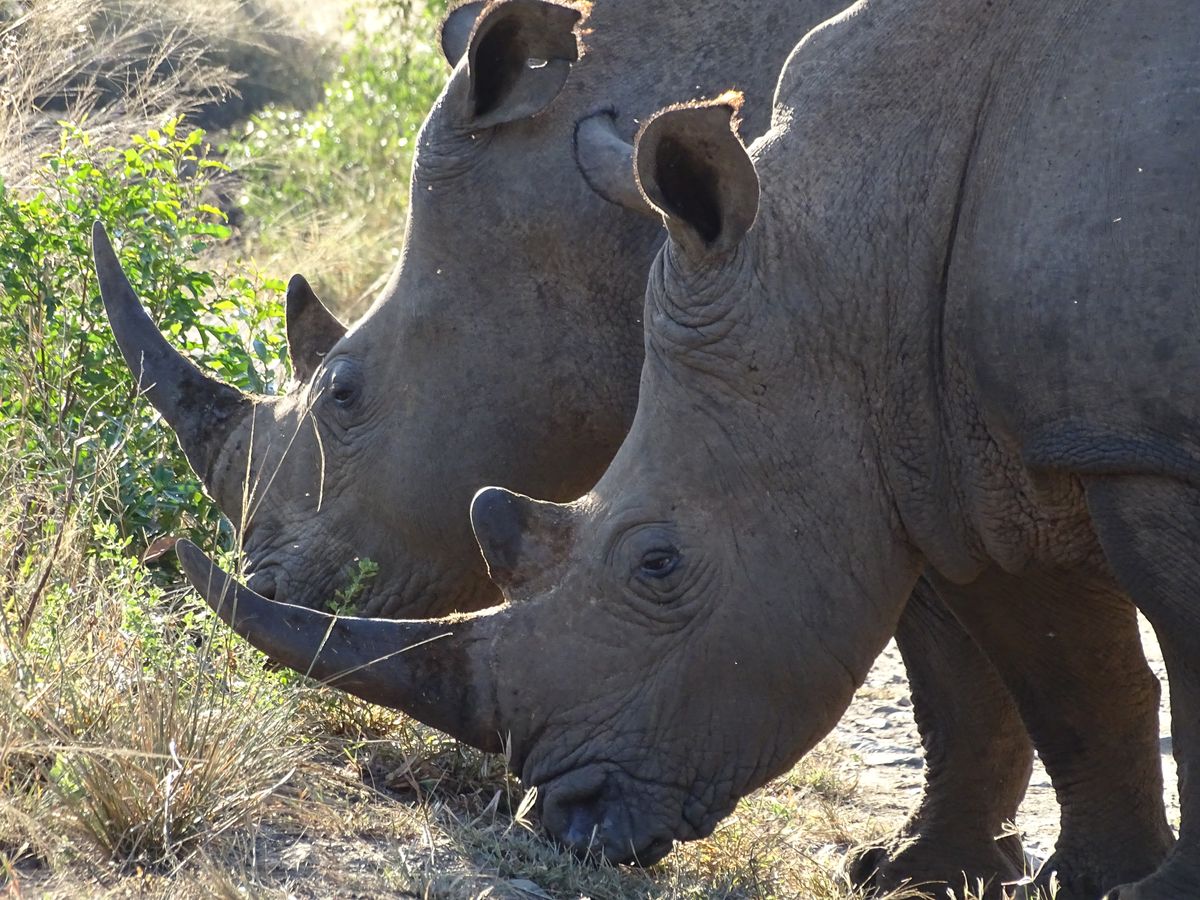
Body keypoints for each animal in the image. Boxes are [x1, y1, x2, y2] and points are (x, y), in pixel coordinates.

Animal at [169, 0, 1197, 895]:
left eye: (343, 393)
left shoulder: (1038, 432)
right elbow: (1055, 668)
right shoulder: (960, 434)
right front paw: (992, 878)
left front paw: (1138, 889)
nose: (565, 818)